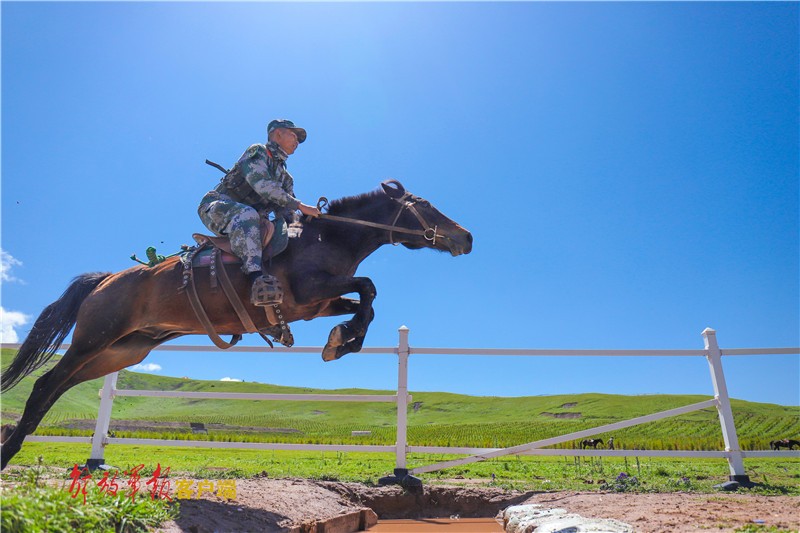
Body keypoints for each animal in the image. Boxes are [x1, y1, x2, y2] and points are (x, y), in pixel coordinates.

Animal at [0, 180, 472, 469]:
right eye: (426, 206)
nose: (466, 237)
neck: (326, 237)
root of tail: (105, 280)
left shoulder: (316, 305)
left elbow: (366, 302)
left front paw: (341, 341)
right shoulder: (309, 291)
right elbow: (369, 287)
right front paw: (343, 339)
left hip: (121, 350)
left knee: (57, 387)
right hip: (94, 341)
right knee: (44, 385)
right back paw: (10, 451)